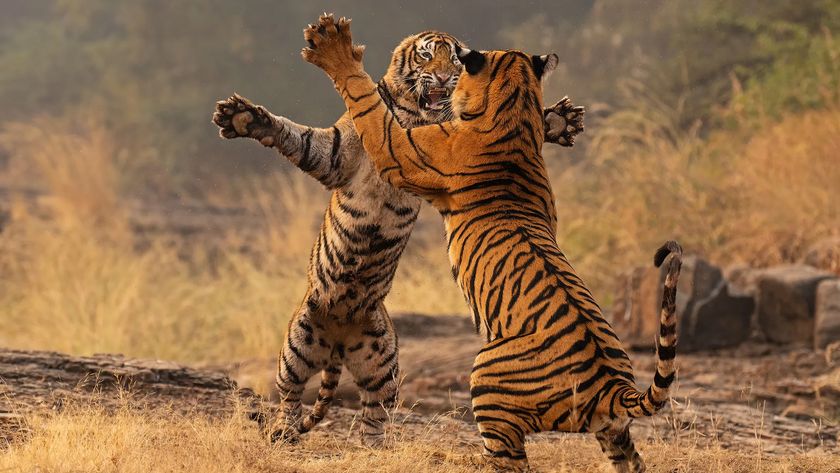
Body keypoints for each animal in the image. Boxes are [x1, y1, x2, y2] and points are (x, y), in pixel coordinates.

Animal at [212, 30, 584, 445]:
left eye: (454, 61)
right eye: (426, 57)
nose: (444, 78)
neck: (413, 114)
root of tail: (338, 339)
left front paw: (558, 120)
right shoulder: (336, 155)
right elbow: (299, 137)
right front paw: (242, 117)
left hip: (382, 359)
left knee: (375, 409)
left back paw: (374, 446)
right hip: (298, 342)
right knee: (290, 394)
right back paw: (283, 430)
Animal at [300, 13, 682, 472]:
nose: (442, 78)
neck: (515, 108)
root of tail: (612, 386)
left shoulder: (402, 151)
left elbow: (368, 106)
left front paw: (335, 49)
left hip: (486, 379)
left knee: (510, 459)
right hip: (612, 431)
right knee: (628, 457)